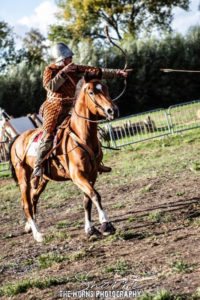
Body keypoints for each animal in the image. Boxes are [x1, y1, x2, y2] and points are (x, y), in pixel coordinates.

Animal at [9, 71, 119, 244]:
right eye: (91, 92)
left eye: (106, 88)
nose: (112, 110)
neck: (82, 135)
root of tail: (18, 139)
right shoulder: (77, 175)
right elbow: (95, 195)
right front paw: (106, 225)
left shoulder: (91, 175)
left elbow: (87, 200)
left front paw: (90, 229)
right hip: (23, 179)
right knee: (26, 204)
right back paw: (37, 234)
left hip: (42, 179)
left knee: (33, 199)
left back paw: (29, 227)